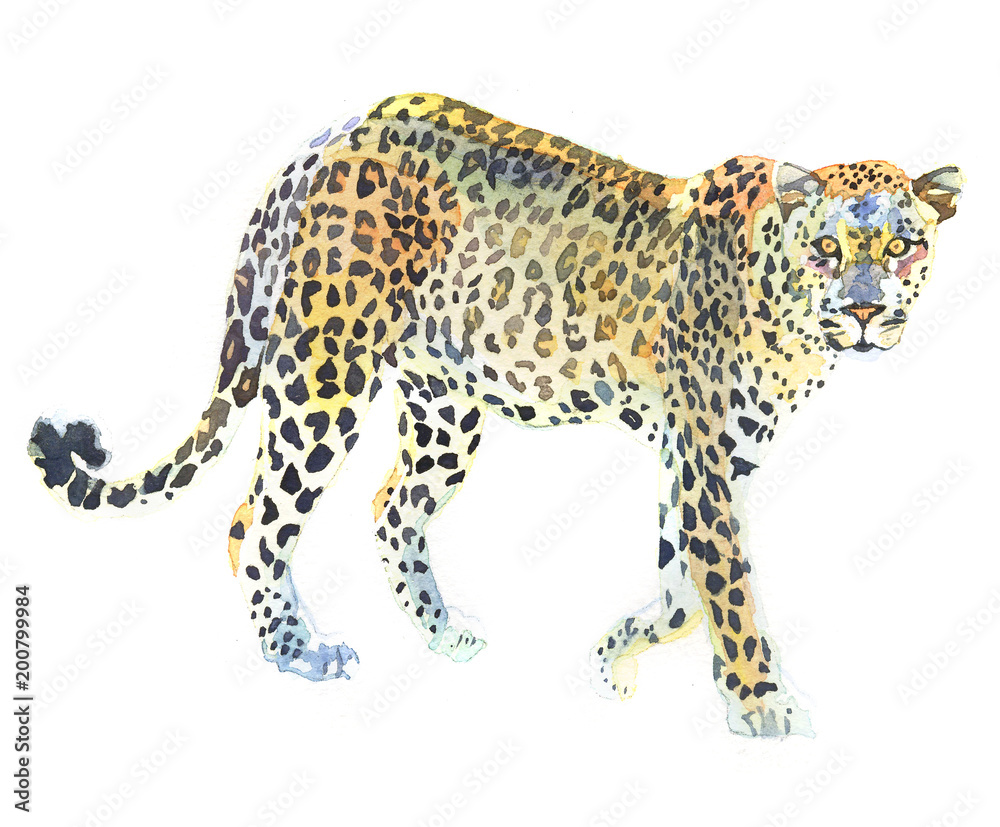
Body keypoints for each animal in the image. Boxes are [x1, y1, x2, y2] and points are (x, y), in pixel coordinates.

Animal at [28, 93, 963, 737]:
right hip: (325, 371)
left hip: (445, 408)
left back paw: (443, 635)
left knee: (390, 508)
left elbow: (681, 589)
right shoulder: (702, 456)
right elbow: (726, 585)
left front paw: (615, 654)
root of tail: (327, 137)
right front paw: (763, 707)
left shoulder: (699, 457)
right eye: (828, 248)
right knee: (254, 518)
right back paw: (298, 650)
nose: (866, 310)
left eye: (902, 245)